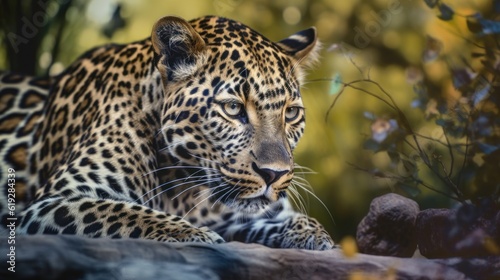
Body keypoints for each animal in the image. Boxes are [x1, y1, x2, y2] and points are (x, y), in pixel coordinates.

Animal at [0, 15, 336, 249]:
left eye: (290, 113)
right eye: (233, 108)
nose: (274, 174)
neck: (187, 186)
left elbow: (286, 218)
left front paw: (314, 233)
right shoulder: (53, 202)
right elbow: (127, 212)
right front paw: (197, 235)